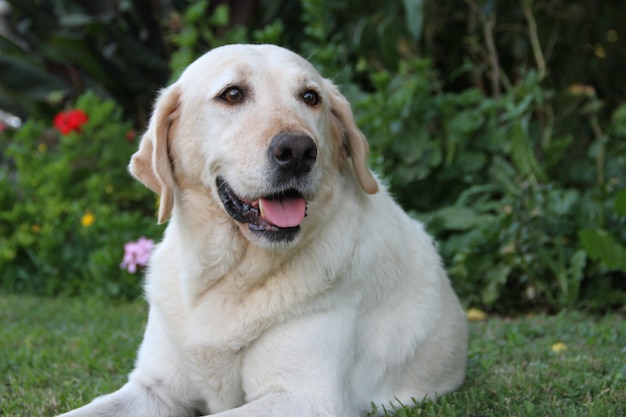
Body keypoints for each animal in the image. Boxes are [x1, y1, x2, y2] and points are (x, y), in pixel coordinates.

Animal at [56, 44, 466, 414]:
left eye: (310, 97)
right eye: (232, 94)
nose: (298, 151)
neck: (228, 272)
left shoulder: (304, 398)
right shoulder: (154, 386)